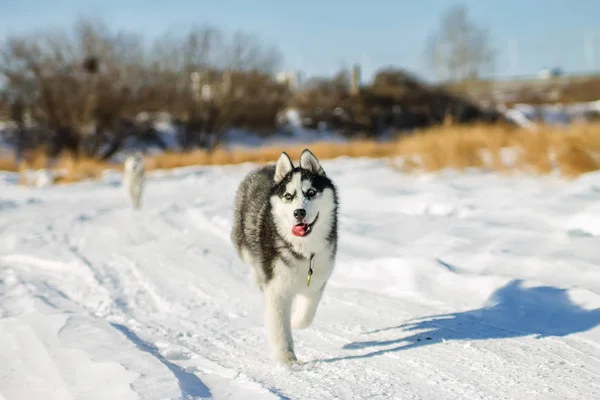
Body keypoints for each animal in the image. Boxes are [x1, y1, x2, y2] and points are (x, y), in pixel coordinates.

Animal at [231, 148, 338, 364]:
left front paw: (296, 321)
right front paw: (286, 358)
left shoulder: (317, 279)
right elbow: (280, 326)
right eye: (289, 196)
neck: (302, 249)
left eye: (311, 192)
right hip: (243, 242)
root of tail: (265, 168)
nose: (299, 212)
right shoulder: (277, 289)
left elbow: (307, 314)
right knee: (253, 262)